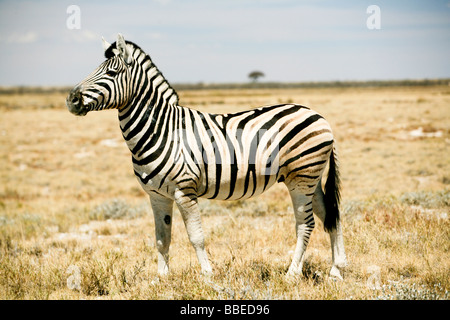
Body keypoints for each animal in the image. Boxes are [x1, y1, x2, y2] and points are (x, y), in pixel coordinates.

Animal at [66, 33, 348, 280]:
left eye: (111, 73)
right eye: (95, 69)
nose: (71, 99)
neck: (161, 130)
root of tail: (318, 115)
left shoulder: (184, 191)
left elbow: (196, 236)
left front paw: (207, 276)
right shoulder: (157, 196)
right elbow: (161, 238)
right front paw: (161, 278)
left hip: (301, 177)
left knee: (306, 223)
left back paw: (292, 274)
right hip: (310, 178)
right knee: (329, 215)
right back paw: (336, 270)